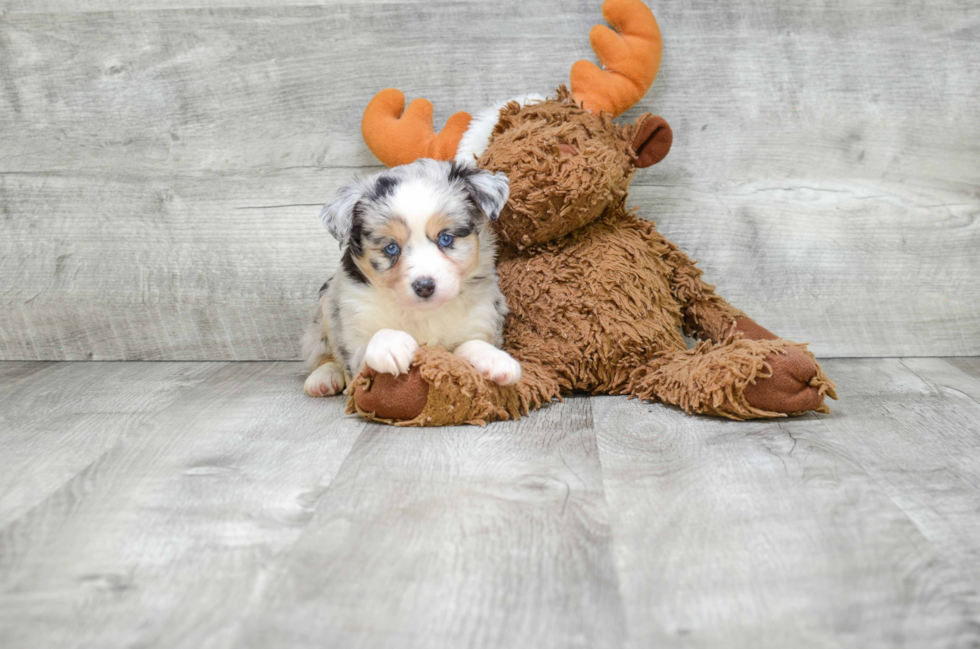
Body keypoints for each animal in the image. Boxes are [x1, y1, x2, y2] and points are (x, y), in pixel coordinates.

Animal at [304, 159, 520, 398]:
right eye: (391, 248)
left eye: (445, 238)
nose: (424, 286)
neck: (423, 313)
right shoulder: (355, 351)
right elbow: (369, 344)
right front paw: (391, 344)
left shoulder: (481, 320)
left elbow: (470, 344)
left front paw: (495, 360)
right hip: (326, 306)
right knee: (320, 351)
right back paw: (323, 377)